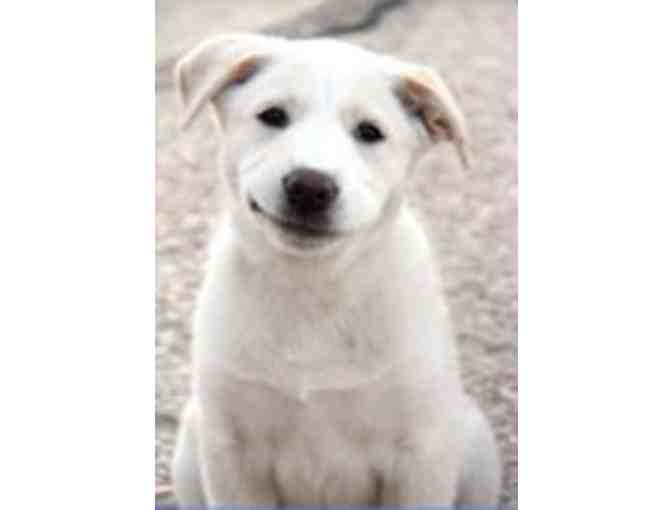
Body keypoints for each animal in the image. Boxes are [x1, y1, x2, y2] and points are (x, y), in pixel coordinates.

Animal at [170, 32, 501, 507]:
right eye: (273, 116)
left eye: (369, 132)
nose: (310, 187)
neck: (314, 287)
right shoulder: (231, 451)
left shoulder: (421, 454)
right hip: (190, 441)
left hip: (473, 443)